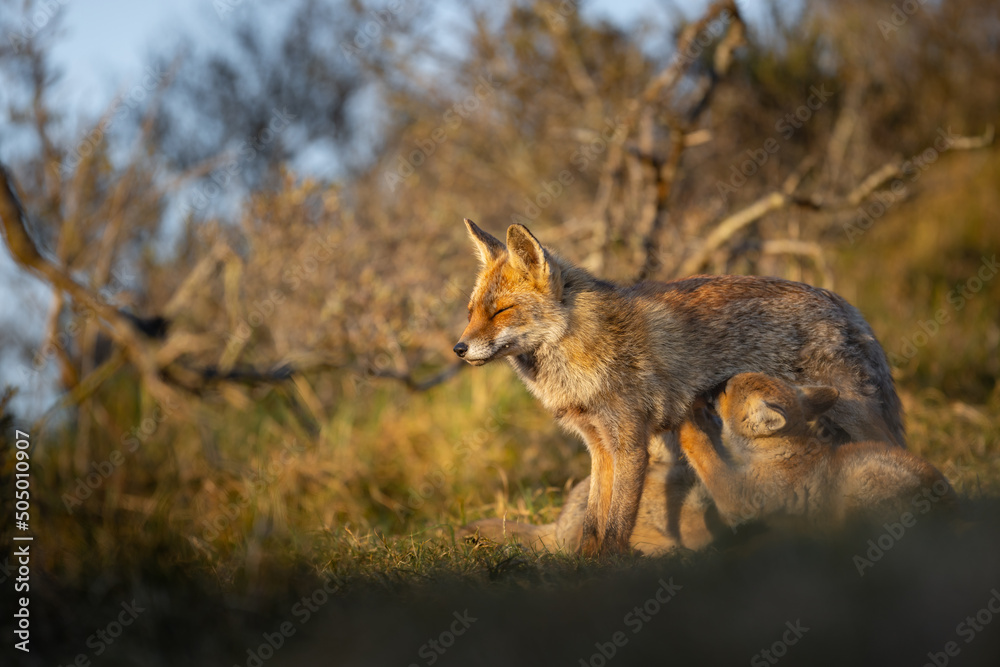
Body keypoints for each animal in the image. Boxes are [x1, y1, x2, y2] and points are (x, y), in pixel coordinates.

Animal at [453, 219, 904, 556]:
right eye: (472, 312)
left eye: (502, 311)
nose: (459, 348)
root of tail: (844, 304)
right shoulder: (599, 446)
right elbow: (594, 524)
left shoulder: (630, 443)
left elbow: (617, 526)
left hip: (857, 418)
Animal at [678, 373, 955, 529]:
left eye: (724, 388)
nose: (704, 388)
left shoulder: (737, 498)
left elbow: (703, 452)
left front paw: (685, 422)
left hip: (861, 484)